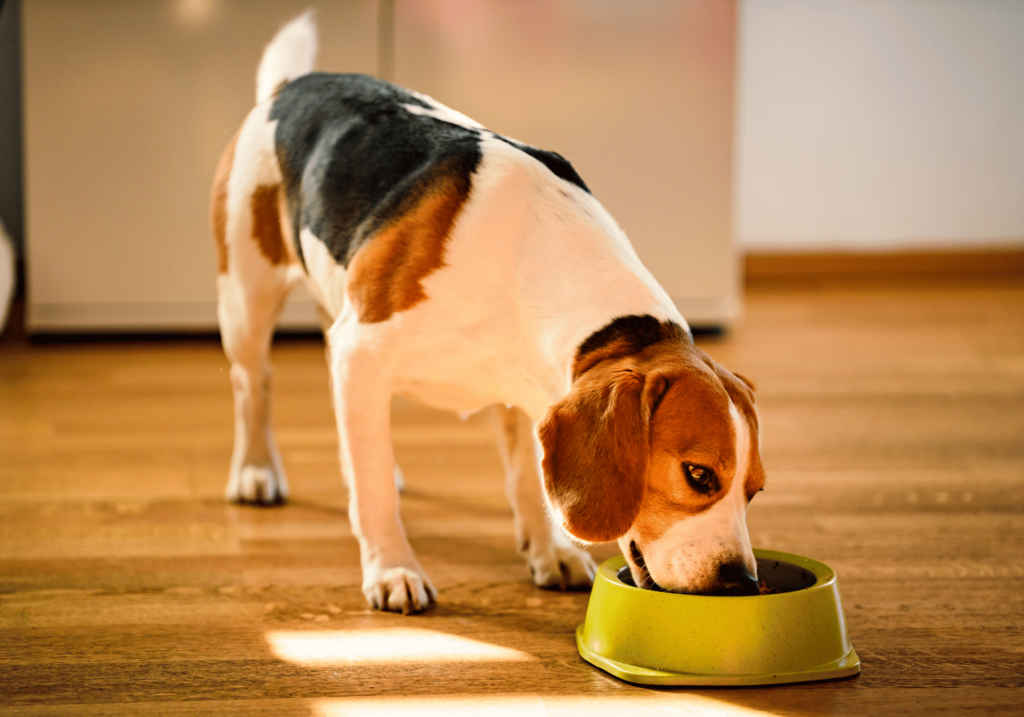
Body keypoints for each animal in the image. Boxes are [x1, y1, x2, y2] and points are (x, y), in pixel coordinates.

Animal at [211, 14, 765, 614]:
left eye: (754, 490)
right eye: (699, 475)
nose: (743, 583)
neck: (533, 256)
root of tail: (291, 86)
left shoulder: (528, 392)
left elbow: (527, 477)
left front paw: (549, 551)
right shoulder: (363, 351)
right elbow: (374, 490)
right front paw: (393, 568)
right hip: (247, 302)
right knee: (252, 387)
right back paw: (256, 471)